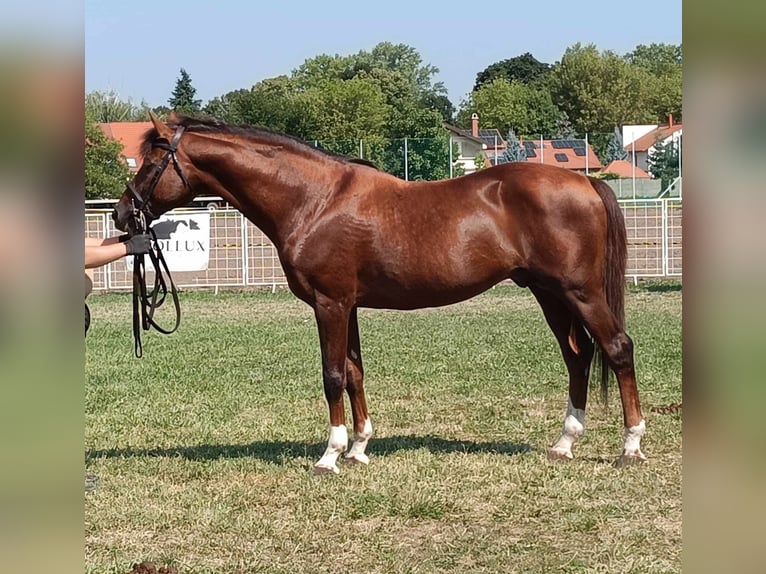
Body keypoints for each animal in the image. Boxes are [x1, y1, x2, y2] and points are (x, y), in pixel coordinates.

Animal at [111, 115, 644, 474]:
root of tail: (585, 181)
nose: (120, 214)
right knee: (578, 357)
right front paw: (360, 448)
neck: (314, 200)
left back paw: (631, 446)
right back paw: (564, 443)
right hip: (549, 294)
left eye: (154, 160)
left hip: (580, 292)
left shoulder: (330, 304)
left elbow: (331, 375)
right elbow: (354, 374)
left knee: (617, 349)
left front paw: (329, 455)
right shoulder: (348, 307)